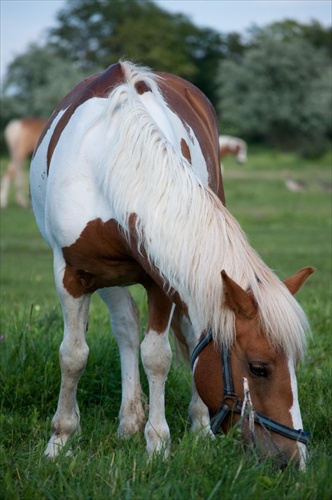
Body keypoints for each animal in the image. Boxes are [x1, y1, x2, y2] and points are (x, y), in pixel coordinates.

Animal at [30, 61, 314, 468]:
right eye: (259, 368)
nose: (295, 458)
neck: (111, 159)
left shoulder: (161, 278)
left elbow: (157, 357)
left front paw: (158, 444)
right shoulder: (72, 274)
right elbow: (73, 355)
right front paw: (61, 440)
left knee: (190, 333)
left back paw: (196, 426)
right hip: (109, 277)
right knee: (125, 326)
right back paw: (128, 422)